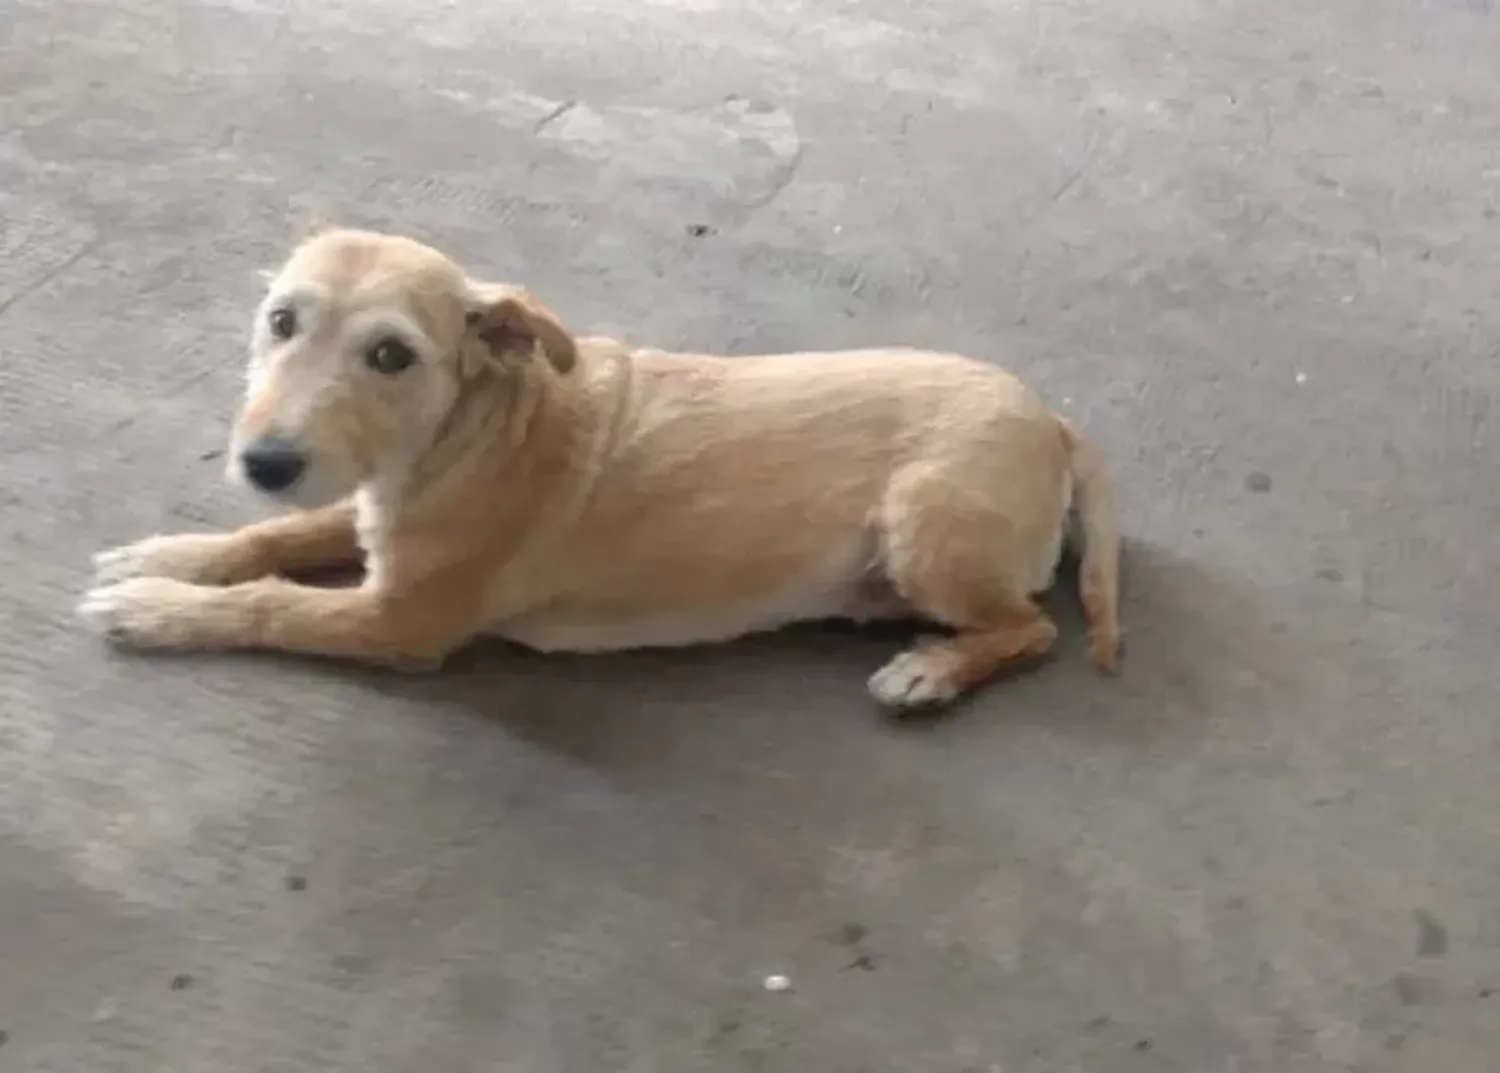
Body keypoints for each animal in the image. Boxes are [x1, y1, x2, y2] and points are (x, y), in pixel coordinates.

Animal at [76, 228, 1122, 714]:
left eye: (391, 355)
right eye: (282, 321)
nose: (265, 459)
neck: (468, 436)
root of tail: (1055, 419)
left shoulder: (401, 622)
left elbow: (273, 602)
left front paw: (159, 609)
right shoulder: (368, 508)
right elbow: (279, 533)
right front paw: (169, 556)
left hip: (925, 518)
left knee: (1031, 628)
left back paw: (933, 670)